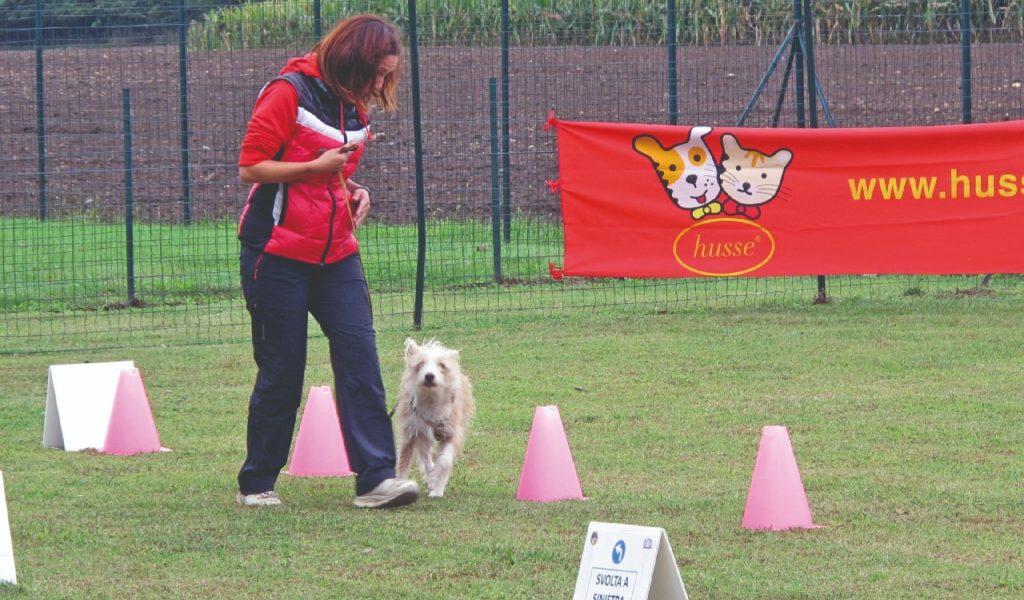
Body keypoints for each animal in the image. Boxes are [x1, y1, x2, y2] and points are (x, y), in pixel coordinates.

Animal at [395, 335, 475, 495]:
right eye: (421, 363)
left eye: (442, 365)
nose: (429, 376)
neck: (431, 399)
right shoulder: (410, 433)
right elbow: (403, 463)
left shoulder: (451, 432)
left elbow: (445, 461)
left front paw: (437, 486)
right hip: (422, 433)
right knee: (425, 455)